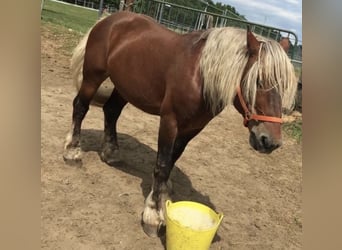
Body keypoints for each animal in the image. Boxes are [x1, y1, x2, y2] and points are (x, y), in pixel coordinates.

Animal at [63, 11, 296, 236]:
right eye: (259, 81)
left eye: (285, 86)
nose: (270, 141)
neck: (200, 75)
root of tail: (109, 19)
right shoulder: (170, 121)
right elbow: (162, 165)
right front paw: (153, 214)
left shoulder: (191, 128)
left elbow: (172, 160)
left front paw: (164, 197)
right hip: (93, 76)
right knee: (80, 107)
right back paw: (72, 152)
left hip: (124, 87)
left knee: (111, 111)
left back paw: (111, 153)